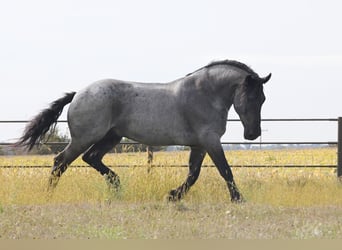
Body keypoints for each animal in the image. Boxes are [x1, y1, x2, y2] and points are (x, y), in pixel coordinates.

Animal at [16, 60, 272, 203]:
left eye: (263, 99)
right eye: (251, 97)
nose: (252, 134)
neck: (205, 94)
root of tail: (79, 93)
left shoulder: (199, 144)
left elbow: (193, 173)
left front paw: (173, 195)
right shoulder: (210, 141)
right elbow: (225, 170)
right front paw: (239, 199)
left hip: (111, 136)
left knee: (91, 158)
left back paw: (117, 186)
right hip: (85, 138)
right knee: (61, 161)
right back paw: (49, 195)